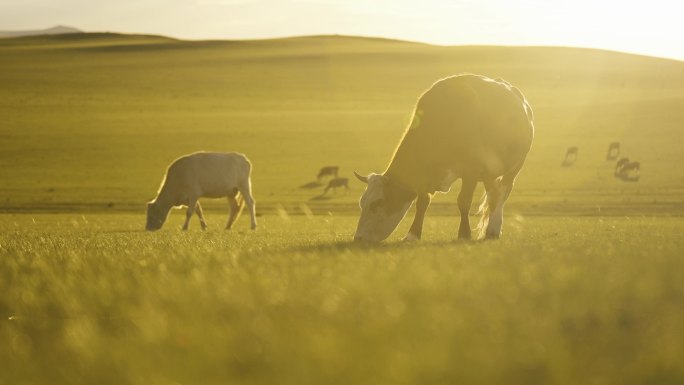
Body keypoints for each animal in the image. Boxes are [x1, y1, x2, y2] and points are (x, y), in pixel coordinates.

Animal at [352, 74, 536, 242]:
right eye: (362, 202)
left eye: (377, 203)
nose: (358, 238)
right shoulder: (425, 175)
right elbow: (422, 203)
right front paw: (412, 235)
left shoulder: (471, 171)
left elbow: (463, 201)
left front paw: (464, 234)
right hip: (489, 172)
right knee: (494, 194)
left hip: (515, 166)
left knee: (502, 193)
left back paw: (494, 229)